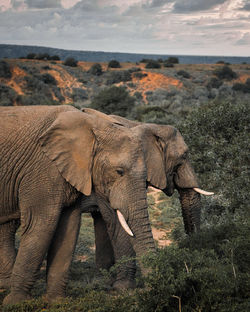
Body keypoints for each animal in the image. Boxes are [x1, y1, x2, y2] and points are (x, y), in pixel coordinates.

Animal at [0, 105, 155, 304]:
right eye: (119, 171)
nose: (150, 289)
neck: (92, 126)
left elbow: (69, 227)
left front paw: (56, 302)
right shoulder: (42, 169)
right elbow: (40, 224)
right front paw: (15, 303)